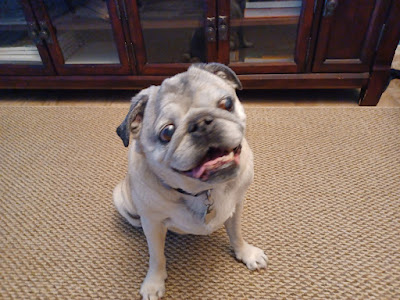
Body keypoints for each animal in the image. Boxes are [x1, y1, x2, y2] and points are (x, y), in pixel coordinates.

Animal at [114, 62, 268, 298]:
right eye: (167, 132)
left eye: (227, 104)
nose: (202, 123)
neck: (204, 190)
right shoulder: (153, 223)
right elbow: (156, 256)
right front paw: (154, 282)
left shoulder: (237, 206)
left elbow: (236, 234)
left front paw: (245, 252)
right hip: (122, 200)